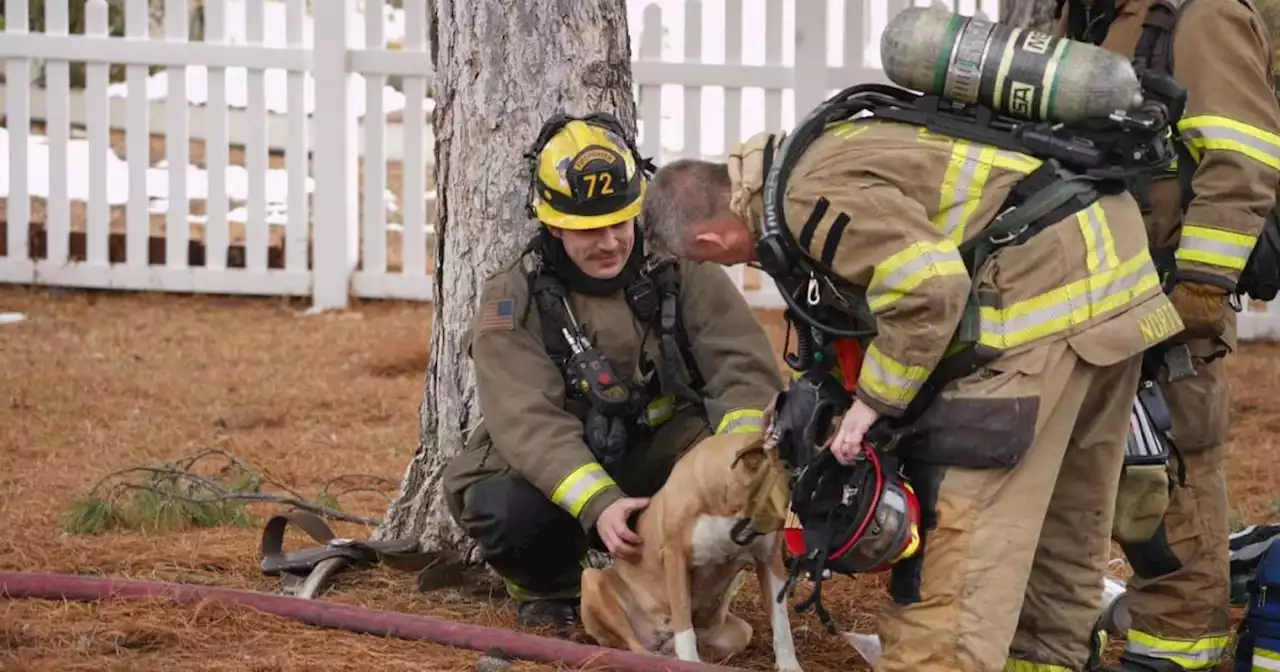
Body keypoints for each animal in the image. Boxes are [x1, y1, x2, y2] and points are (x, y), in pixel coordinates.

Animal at [581, 430, 798, 670]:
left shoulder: (769, 560)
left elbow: (782, 624)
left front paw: (790, 665)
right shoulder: (676, 558)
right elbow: (684, 624)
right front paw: (689, 662)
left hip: (739, 631)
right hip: (592, 579)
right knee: (634, 646)